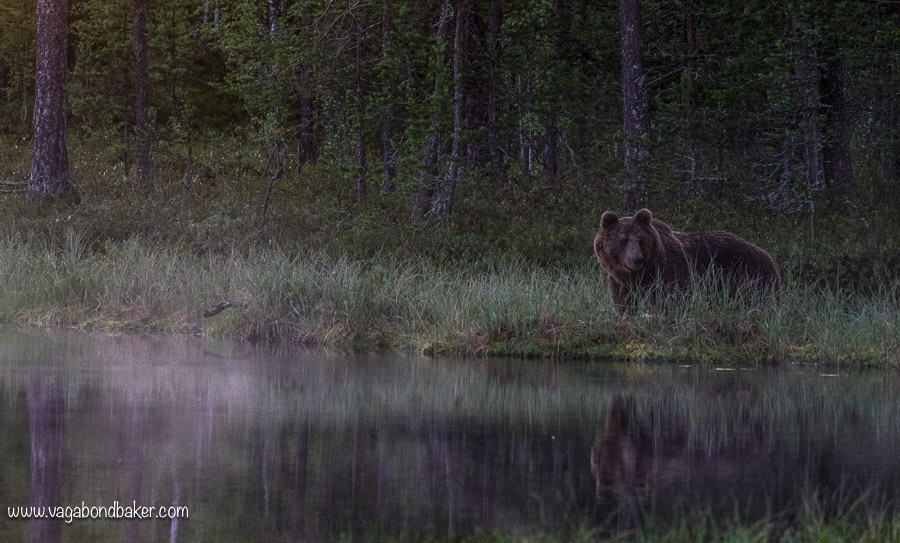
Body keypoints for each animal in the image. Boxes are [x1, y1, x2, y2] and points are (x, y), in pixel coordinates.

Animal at [593, 208, 780, 311]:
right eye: (623, 240)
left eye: (640, 240)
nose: (637, 259)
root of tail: (769, 256)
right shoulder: (621, 283)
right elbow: (624, 305)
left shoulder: (669, 274)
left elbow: (670, 301)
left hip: (749, 278)